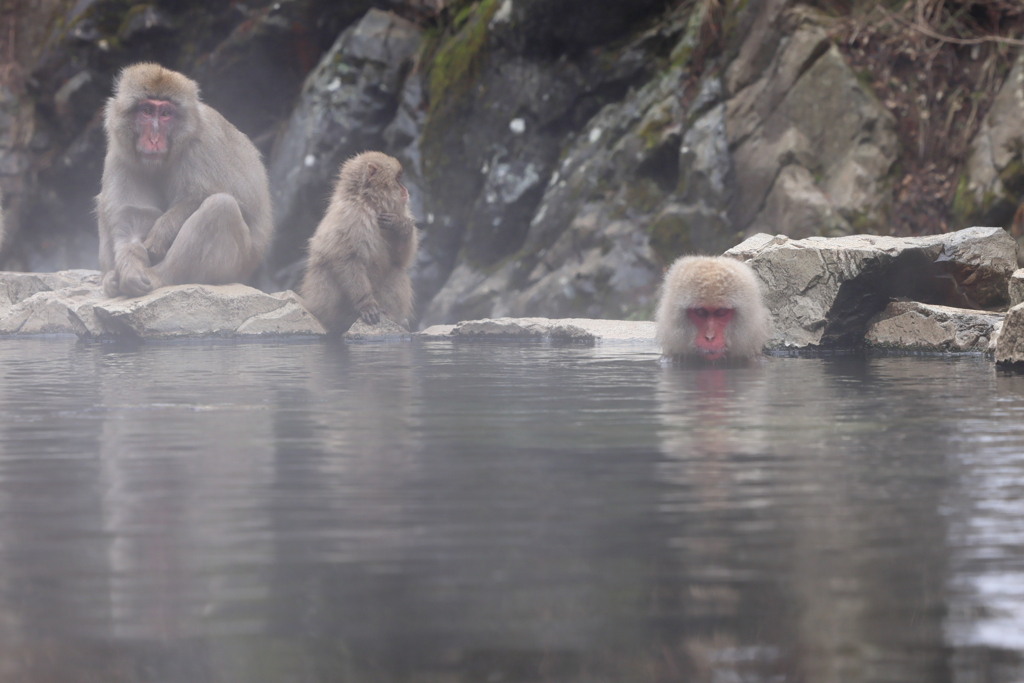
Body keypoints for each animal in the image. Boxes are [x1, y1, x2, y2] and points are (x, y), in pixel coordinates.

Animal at [95, 63, 272, 296]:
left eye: (166, 114)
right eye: (147, 111)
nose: (153, 139)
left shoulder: (201, 145)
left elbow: (213, 199)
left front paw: (161, 232)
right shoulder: (120, 155)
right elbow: (134, 216)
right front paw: (130, 269)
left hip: (239, 266)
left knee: (221, 207)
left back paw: (159, 276)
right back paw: (111, 280)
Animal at [299, 151, 417, 333]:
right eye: (397, 178)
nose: (405, 190)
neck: (370, 204)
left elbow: (400, 260)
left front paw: (400, 226)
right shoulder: (350, 216)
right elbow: (347, 258)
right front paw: (365, 303)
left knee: (396, 270)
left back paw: (395, 317)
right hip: (320, 302)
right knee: (326, 269)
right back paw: (342, 321)